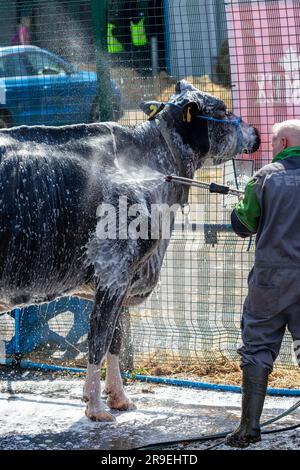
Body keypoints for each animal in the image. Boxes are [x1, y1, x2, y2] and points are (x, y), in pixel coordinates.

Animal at [0, 79, 260, 420]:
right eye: (223, 110)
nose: (256, 133)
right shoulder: (114, 273)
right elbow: (99, 339)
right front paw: (95, 406)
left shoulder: (123, 283)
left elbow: (117, 340)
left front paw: (118, 397)